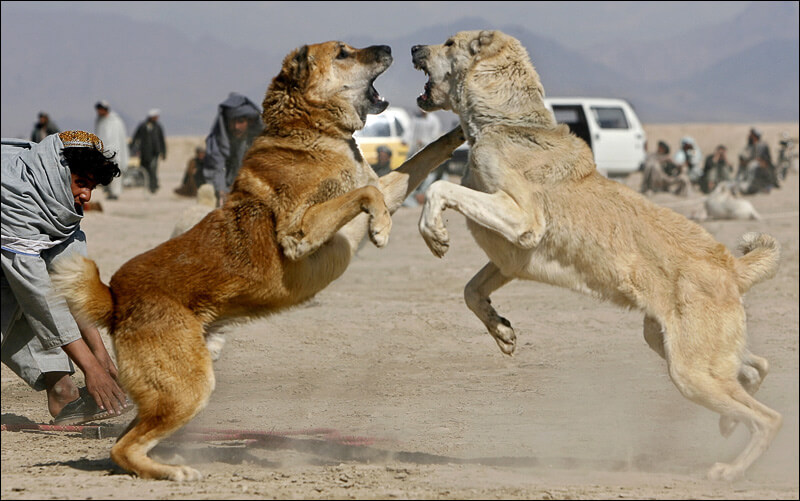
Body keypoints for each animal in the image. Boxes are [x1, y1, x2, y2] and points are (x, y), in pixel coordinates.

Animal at [412, 28, 780, 480]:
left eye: (449, 43)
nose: (413, 49)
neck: (505, 122)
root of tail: (731, 265)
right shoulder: (512, 256)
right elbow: (470, 291)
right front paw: (502, 331)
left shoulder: (522, 219)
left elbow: (440, 188)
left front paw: (434, 233)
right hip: (674, 345)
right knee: (755, 367)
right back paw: (729, 423)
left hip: (690, 370)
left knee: (768, 417)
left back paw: (730, 470)